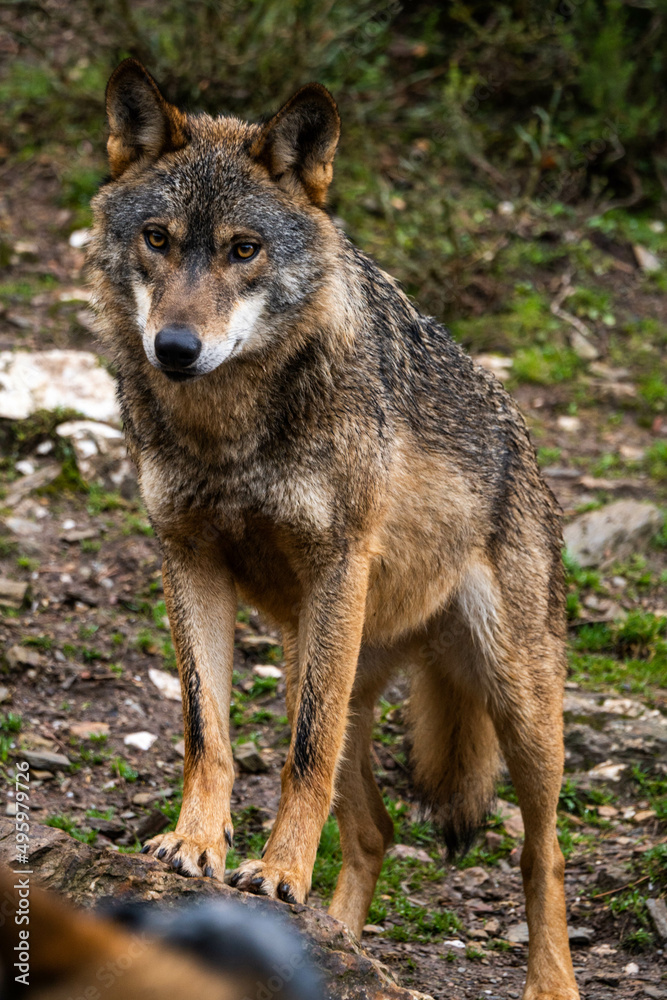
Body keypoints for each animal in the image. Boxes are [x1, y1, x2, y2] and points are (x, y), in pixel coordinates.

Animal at [88, 58, 580, 1000]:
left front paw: (278, 872)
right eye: (158, 239)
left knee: (542, 855)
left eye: (244, 249)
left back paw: (551, 982)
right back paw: (333, 943)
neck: (227, 430)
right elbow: (206, 731)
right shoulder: (186, 558)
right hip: (318, 664)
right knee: (376, 829)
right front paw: (197, 845)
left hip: (515, 703)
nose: (175, 347)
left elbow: (302, 761)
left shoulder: (336, 565)